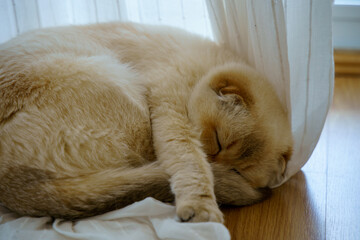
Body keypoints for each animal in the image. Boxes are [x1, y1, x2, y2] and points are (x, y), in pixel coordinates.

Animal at [0, 22, 292, 223]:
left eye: (238, 171)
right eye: (218, 142)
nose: (215, 164)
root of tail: (13, 187)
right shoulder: (174, 119)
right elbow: (192, 168)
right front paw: (203, 210)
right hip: (133, 105)